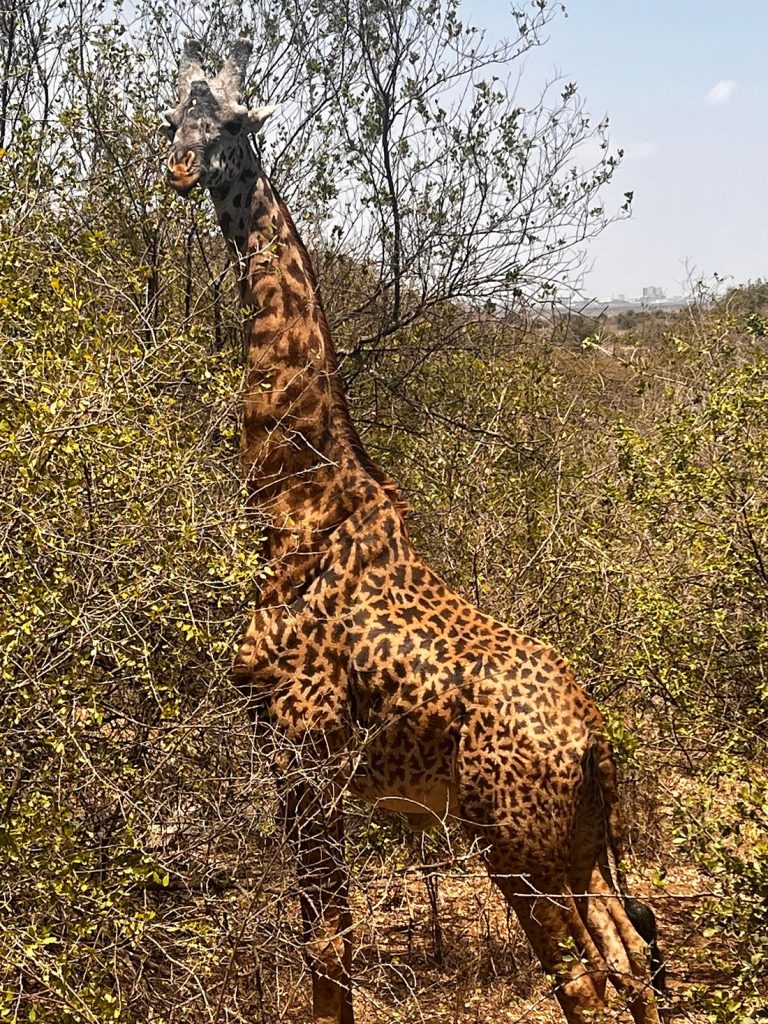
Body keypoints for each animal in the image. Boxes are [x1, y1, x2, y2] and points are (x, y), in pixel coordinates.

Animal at [165, 37, 671, 1024]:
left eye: (225, 119)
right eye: (177, 111)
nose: (175, 168)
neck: (294, 496)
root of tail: (597, 746)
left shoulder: (306, 757)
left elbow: (328, 949)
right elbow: (329, 947)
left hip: (514, 848)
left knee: (583, 981)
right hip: (577, 852)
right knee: (630, 961)